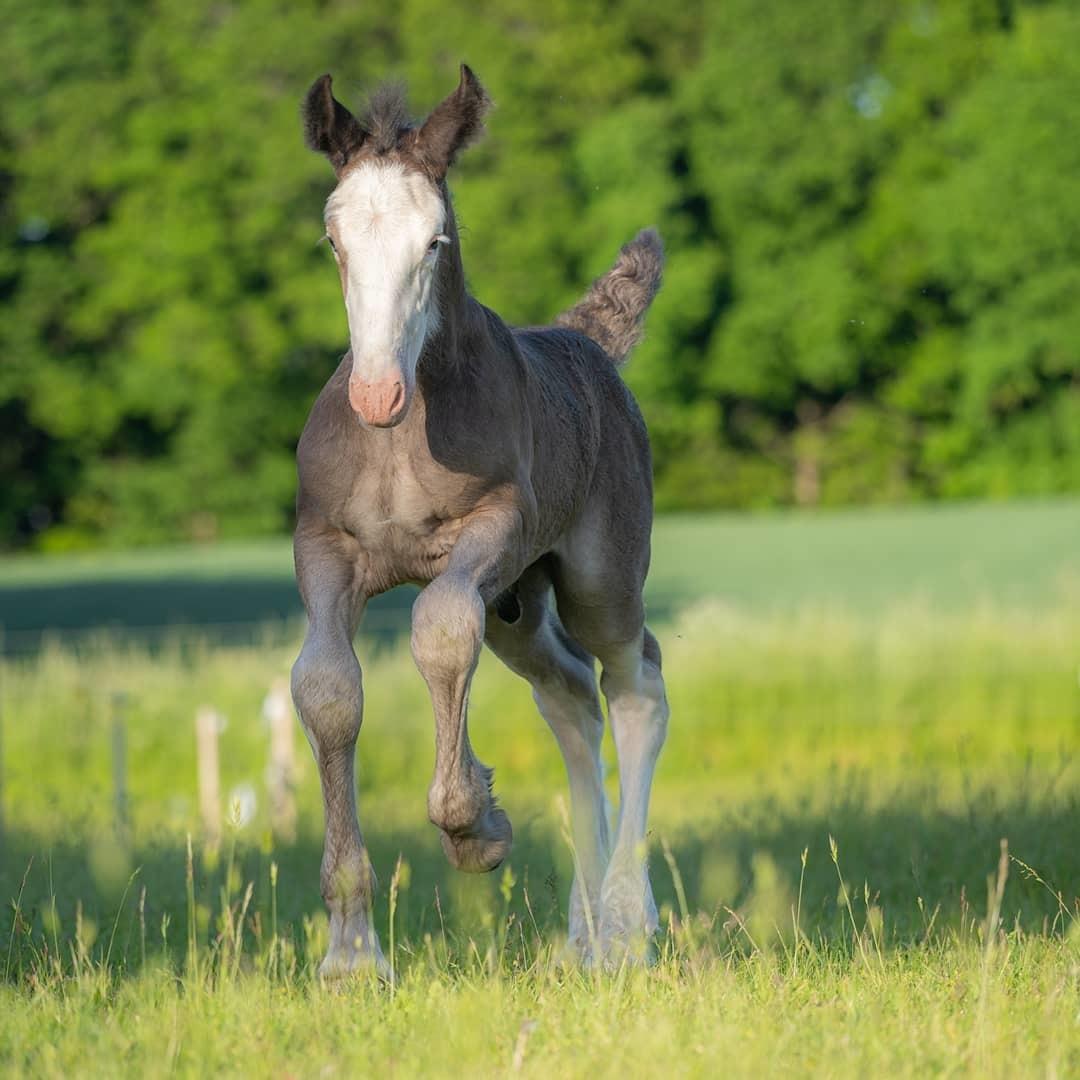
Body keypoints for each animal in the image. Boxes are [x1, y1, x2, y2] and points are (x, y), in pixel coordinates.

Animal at [291, 67, 669, 980]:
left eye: (434, 241)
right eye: (333, 240)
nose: (377, 393)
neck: (402, 437)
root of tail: (587, 346)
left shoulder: (494, 530)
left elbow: (438, 627)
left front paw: (478, 829)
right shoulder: (323, 551)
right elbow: (327, 691)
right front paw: (352, 956)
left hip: (597, 576)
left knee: (636, 685)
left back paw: (625, 926)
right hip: (521, 611)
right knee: (571, 699)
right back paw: (581, 939)